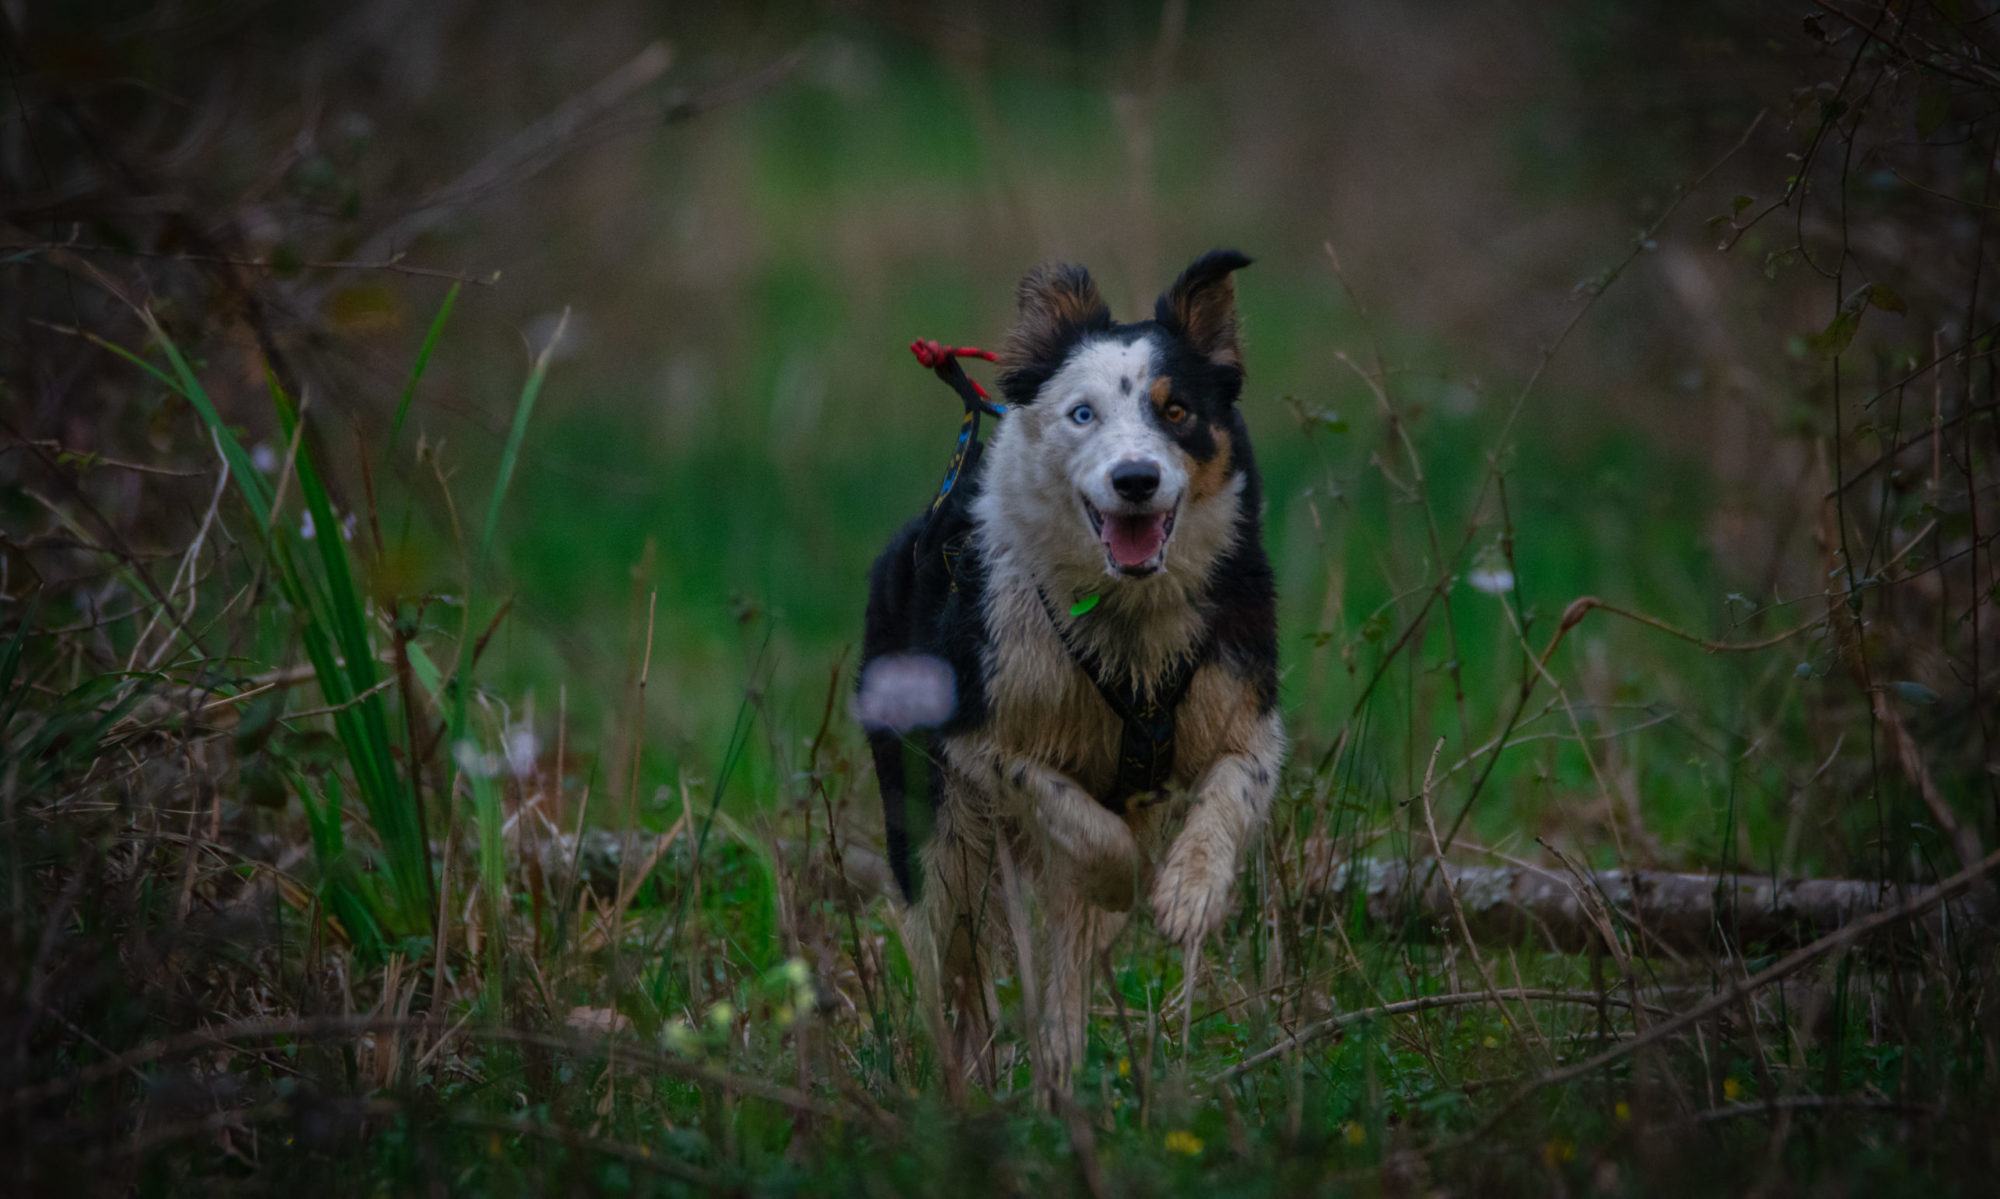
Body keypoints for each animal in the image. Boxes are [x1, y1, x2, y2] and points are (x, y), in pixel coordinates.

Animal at [860, 252, 1280, 1087]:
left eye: (1176, 410)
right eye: (1082, 414)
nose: (1135, 479)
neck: (1127, 619)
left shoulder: (1246, 697)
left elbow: (1233, 784)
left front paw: (1188, 892)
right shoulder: (978, 730)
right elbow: (1086, 829)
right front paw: (1128, 880)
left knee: (1064, 967)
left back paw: (1060, 1066)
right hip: (933, 826)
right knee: (949, 952)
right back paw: (964, 1074)